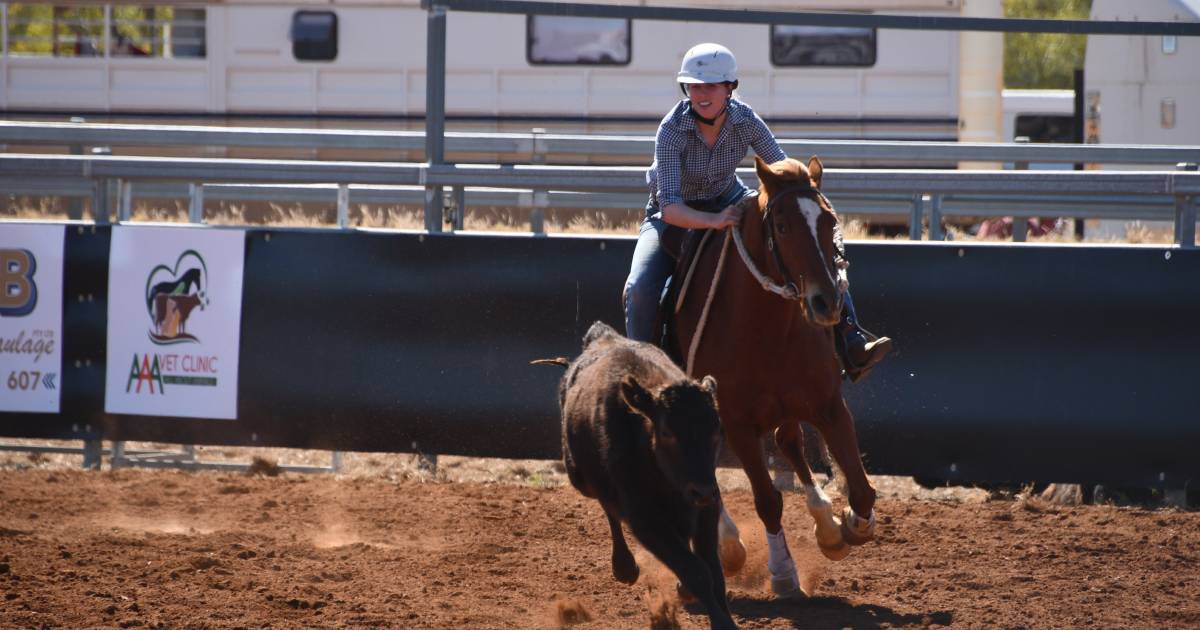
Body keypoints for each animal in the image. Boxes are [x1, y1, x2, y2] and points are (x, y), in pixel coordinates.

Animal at [676, 154, 883, 597]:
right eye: (783, 226)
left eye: (829, 220)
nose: (827, 302)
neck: (766, 327)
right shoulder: (735, 422)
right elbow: (767, 500)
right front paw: (783, 573)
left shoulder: (829, 405)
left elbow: (861, 489)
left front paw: (849, 526)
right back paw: (727, 549)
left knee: (789, 443)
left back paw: (826, 526)